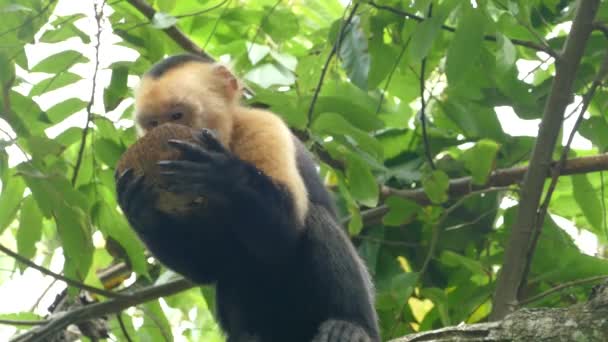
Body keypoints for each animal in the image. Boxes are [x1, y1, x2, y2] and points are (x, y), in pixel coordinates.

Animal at [115, 54, 380, 342]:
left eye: (176, 115)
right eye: (153, 124)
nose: (161, 130)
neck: (227, 137)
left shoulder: (263, 125)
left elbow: (282, 236)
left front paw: (221, 173)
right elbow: (208, 266)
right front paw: (138, 207)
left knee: (316, 219)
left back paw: (351, 325)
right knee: (233, 270)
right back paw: (250, 335)